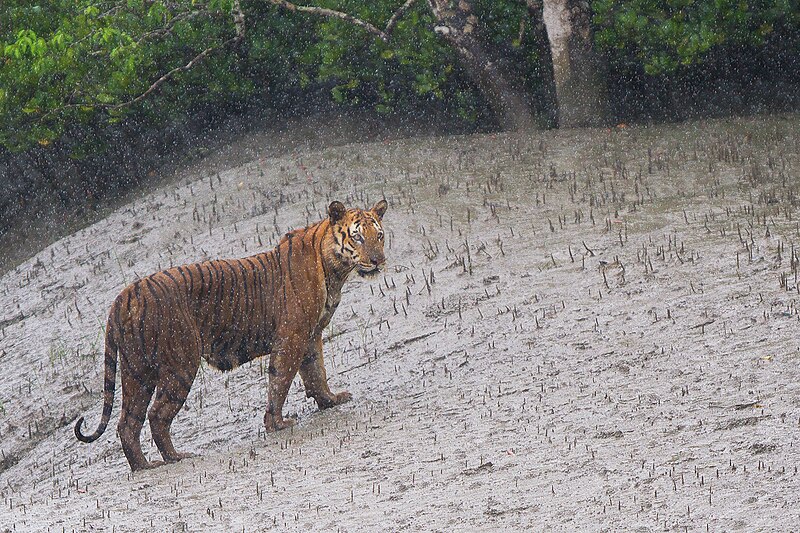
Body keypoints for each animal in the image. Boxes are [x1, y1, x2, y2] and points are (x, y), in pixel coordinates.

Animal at [75, 200, 388, 470]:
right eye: (358, 237)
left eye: (380, 235)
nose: (378, 260)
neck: (334, 270)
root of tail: (123, 296)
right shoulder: (293, 336)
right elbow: (281, 380)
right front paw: (277, 424)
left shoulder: (311, 336)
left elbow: (316, 373)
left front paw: (330, 400)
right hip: (180, 364)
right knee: (157, 415)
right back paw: (176, 457)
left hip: (136, 372)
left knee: (127, 423)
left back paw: (144, 466)